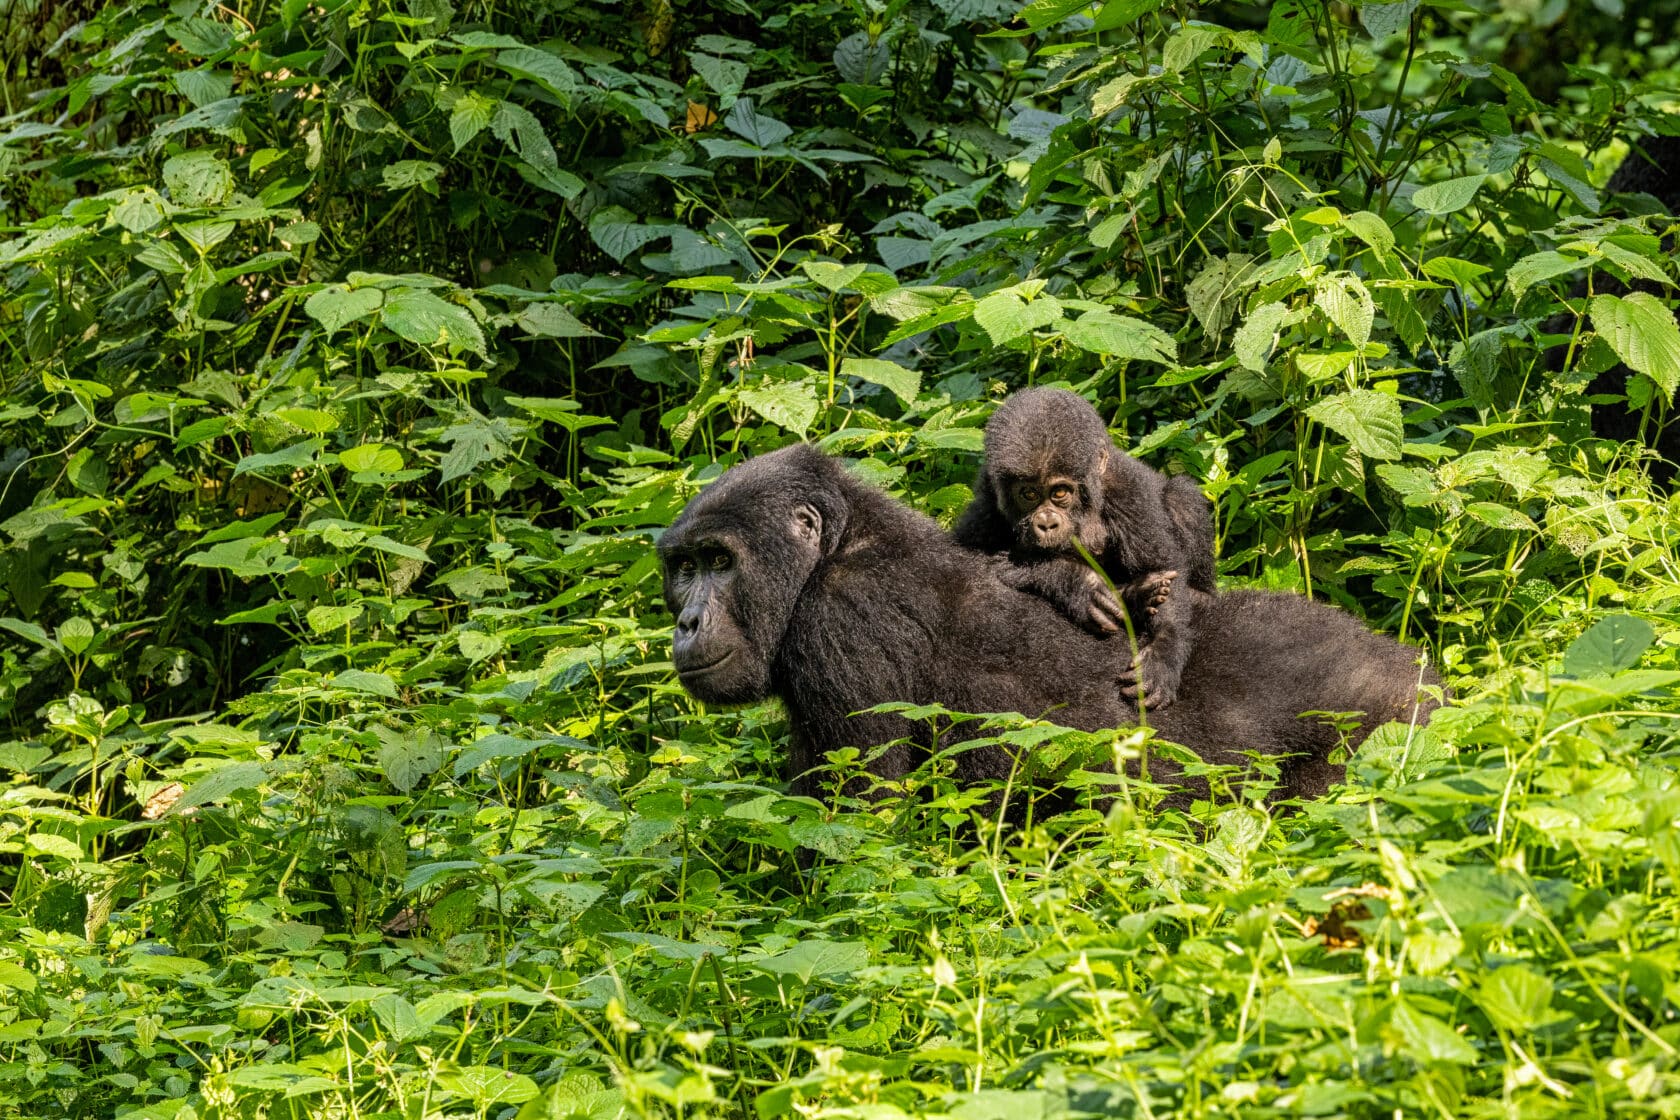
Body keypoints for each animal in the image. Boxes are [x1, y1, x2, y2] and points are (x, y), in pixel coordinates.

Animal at [658, 446, 1444, 805]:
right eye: (683, 567)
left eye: (720, 562)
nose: (688, 621)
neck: (838, 547)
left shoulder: (838, 625)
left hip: (1385, 722)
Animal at [954, 389, 1216, 705]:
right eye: (1028, 494)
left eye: (1060, 493)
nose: (1046, 523)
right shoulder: (986, 504)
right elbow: (974, 563)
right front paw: (1078, 584)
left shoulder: (1127, 490)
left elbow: (1161, 567)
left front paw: (1163, 653)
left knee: (1181, 498)